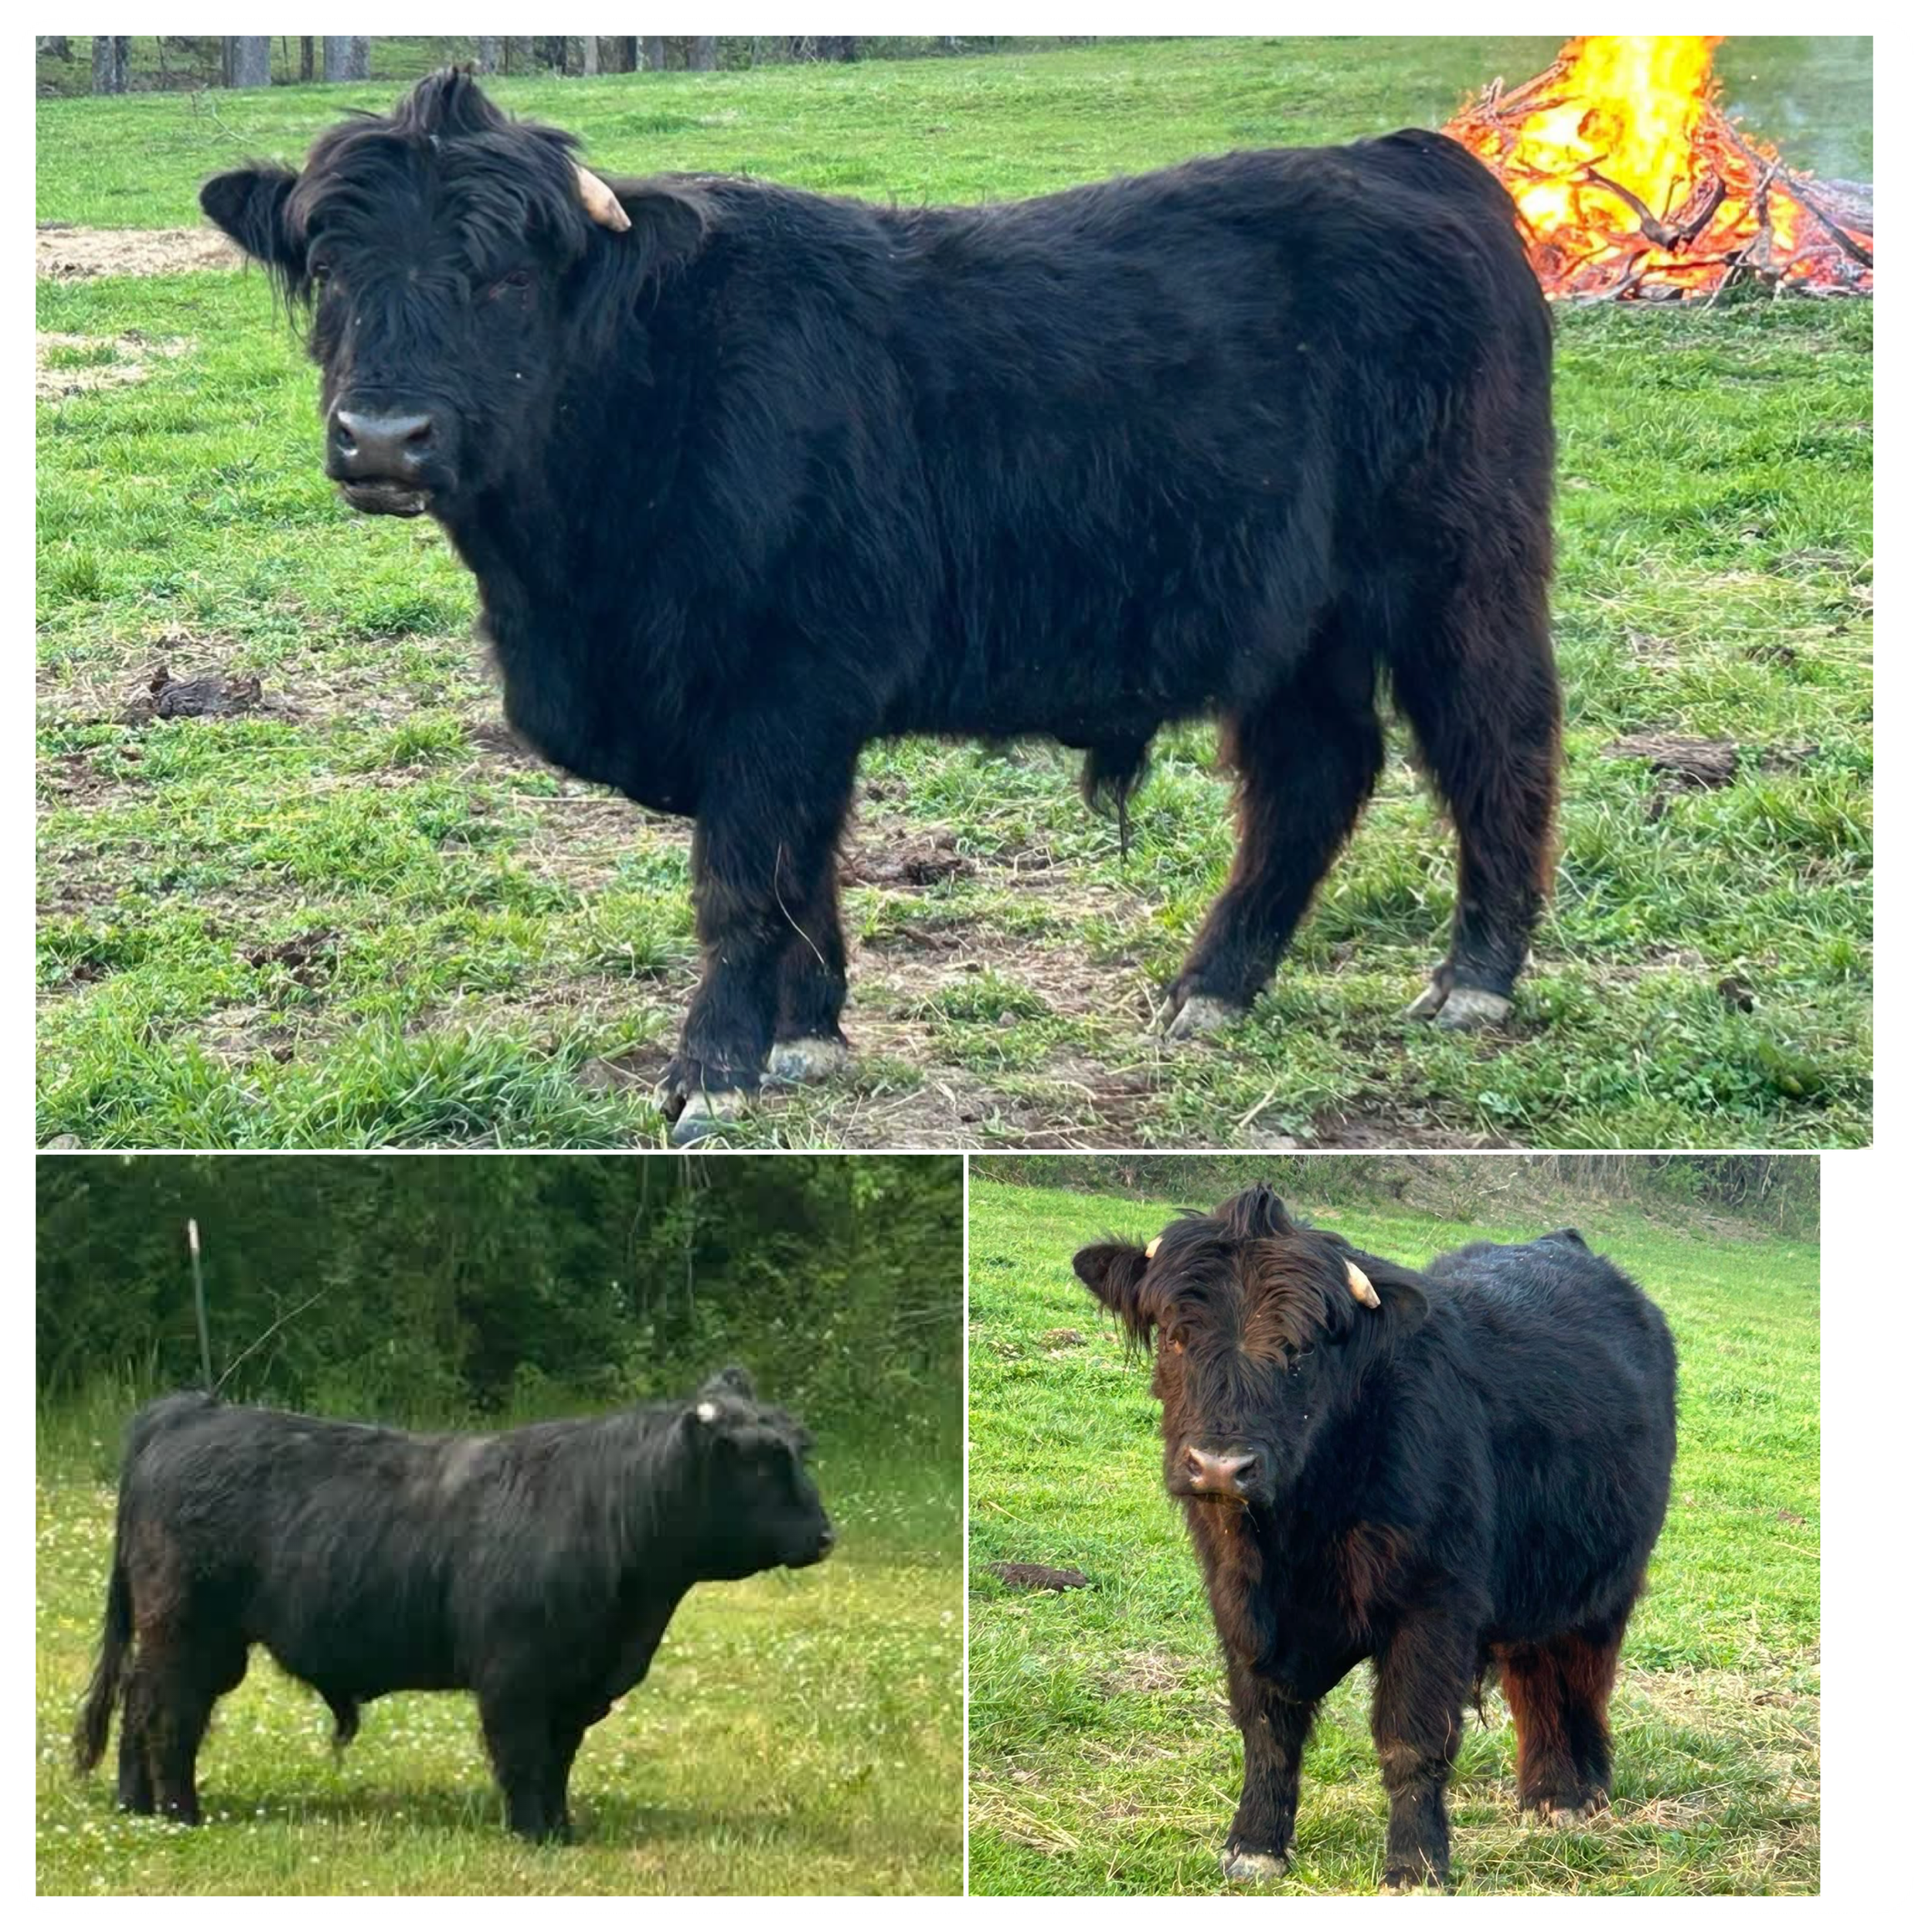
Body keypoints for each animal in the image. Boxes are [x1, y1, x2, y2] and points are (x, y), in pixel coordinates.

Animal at [72, 1369, 833, 1842]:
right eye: (764, 1460)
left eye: (800, 1448)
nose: (827, 1535)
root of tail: (192, 1412)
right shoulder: (516, 1674)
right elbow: (523, 1756)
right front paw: (533, 1835)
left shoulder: (577, 1682)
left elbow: (560, 1759)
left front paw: (563, 1830)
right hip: (190, 1631)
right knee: (169, 1713)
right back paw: (180, 1813)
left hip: (185, 1636)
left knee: (140, 1701)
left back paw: (135, 1807)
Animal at [200, 71, 1560, 1142]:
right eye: (331, 264)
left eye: (503, 275)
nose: (385, 438)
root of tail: (1405, 159)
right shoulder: (790, 711)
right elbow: (804, 871)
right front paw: (808, 1034)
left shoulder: (785, 689)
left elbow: (742, 877)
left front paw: (713, 1073)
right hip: (1296, 621)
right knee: (1314, 774)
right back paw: (1212, 988)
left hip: (1462, 572)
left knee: (1497, 742)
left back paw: (1473, 977)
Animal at [1072, 1185, 1676, 1891]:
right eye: (1176, 1336)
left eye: (1300, 1349)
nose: (1221, 1466)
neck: (1302, 1534)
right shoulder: (1238, 1604)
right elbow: (1266, 1727)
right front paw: (1254, 1846)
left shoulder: (1434, 1607)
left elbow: (1411, 1738)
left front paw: (1415, 1866)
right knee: (1534, 1673)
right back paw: (1542, 1793)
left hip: (1605, 1578)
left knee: (1581, 1670)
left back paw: (1571, 1794)